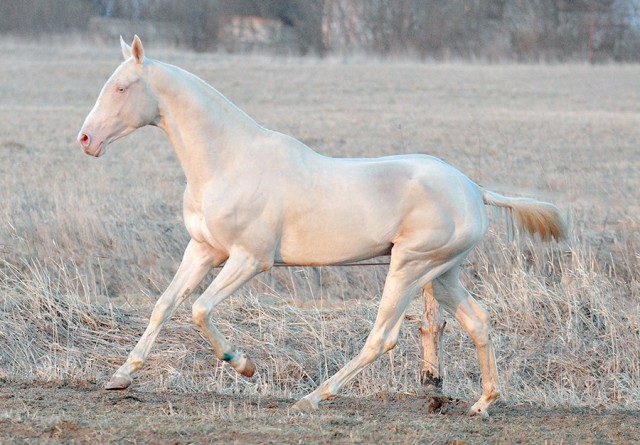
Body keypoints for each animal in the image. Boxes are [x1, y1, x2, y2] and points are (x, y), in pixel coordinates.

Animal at [77, 35, 564, 416]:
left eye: (121, 87)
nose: (86, 139)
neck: (229, 161)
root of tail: (474, 190)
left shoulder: (250, 259)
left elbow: (199, 308)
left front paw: (244, 364)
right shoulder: (202, 249)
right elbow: (164, 305)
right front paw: (119, 377)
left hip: (410, 267)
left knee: (381, 338)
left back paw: (312, 398)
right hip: (442, 274)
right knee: (478, 323)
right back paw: (483, 404)